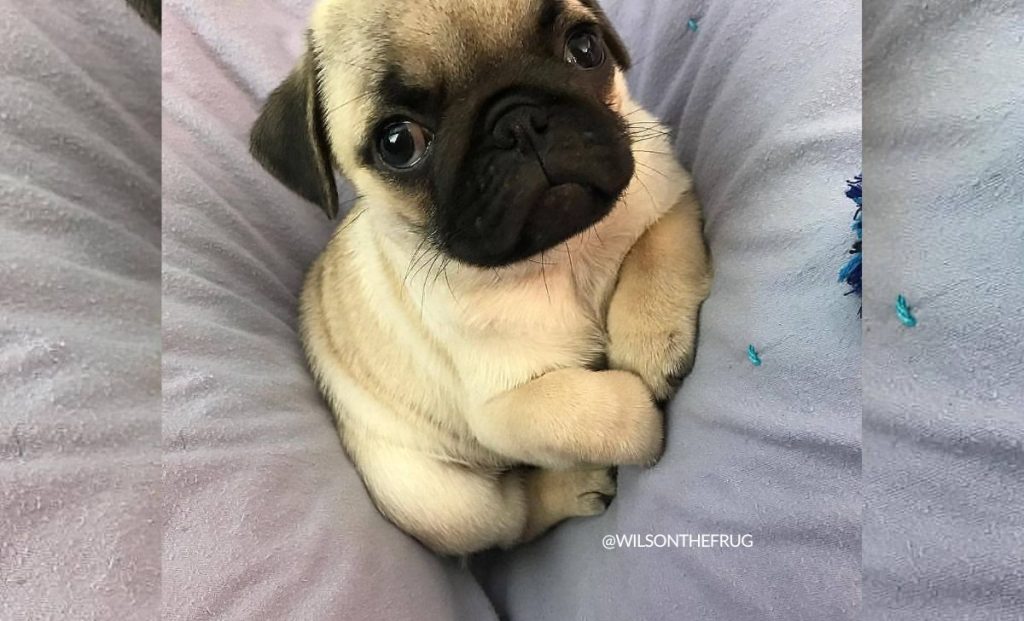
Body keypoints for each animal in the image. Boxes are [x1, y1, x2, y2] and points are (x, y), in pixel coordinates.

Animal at [248, 0, 712, 553]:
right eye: (398, 143)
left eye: (584, 48)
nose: (518, 121)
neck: (567, 251)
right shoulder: (503, 408)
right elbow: (595, 412)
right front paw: (641, 418)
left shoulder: (666, 192)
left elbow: (655, 250)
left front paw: (651, 342)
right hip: (439, 497)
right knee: (510, 518)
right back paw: (575, 486)